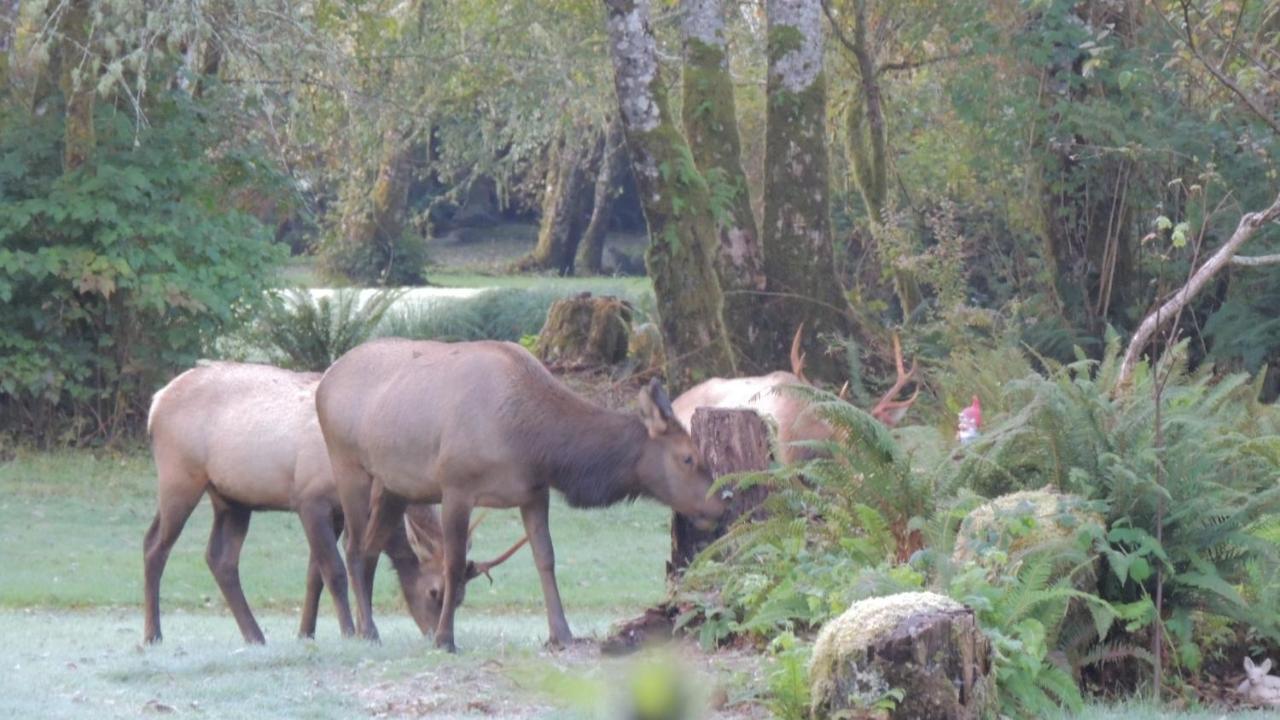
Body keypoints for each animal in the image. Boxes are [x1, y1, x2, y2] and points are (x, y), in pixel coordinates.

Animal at [147, 361, 527, 640]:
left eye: (461, 597)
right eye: (435, 591)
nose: (433, 634)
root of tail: (157, 401)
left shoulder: (338, 512)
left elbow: (317, 574)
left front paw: (307, 633)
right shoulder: (309, 499)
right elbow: (335, 570)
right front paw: (350, 631)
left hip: (231, 498)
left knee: (220, 559)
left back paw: (255, 635)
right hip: (179, 479)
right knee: (155, 545)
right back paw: (153, 635)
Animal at [314, 338, 727, 650]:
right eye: (688, 457)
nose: (721, 504)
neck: (535, 443)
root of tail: (324, 381)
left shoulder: (533, 492)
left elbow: (546, 558)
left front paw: (562, 633)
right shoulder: (456, 487)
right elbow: (453, 564)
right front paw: (445, 639)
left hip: (394, 484)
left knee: (371, 548)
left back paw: (364, 628)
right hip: (348, 465)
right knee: (353, 546)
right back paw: (365, 631)